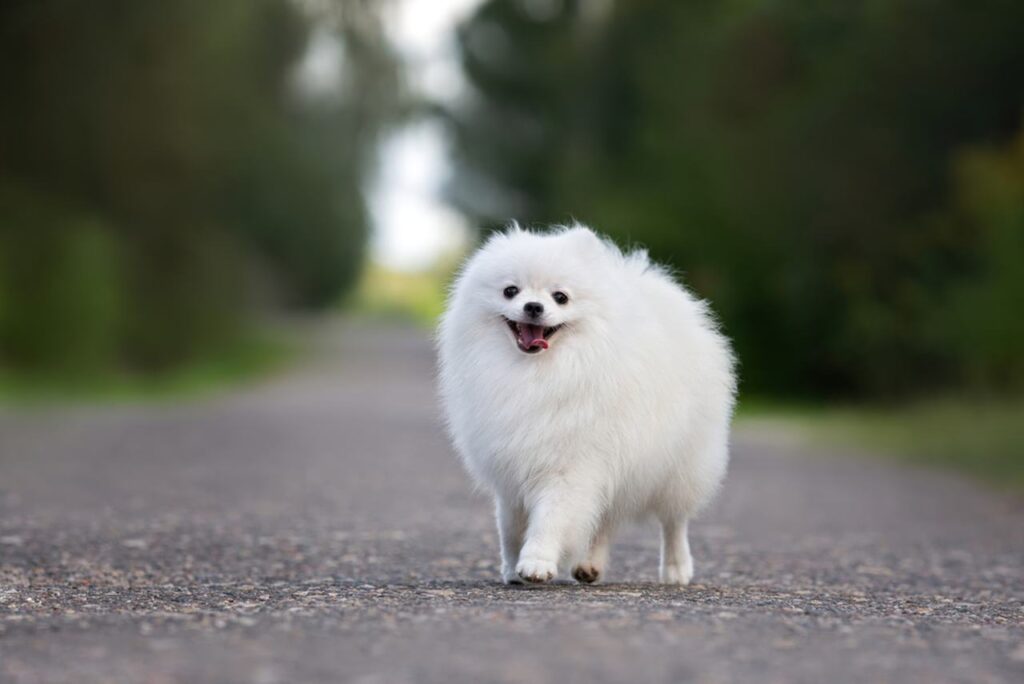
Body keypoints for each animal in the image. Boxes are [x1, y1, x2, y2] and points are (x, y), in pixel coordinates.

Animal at [436, 223, 733, 581]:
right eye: (510, 291)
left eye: (560, 297)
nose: (533, 307)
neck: (535, 374)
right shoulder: (510, 467)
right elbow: (509, 528)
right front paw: (511, 567)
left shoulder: (569, 466)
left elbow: (549, 518)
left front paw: (536, 562)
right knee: (606, 519)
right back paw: (590, 564)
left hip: (679, 466)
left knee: (674, 521)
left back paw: (676, 569)